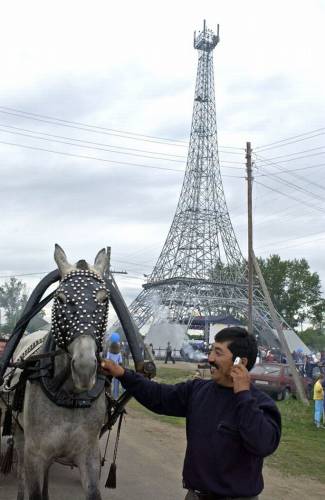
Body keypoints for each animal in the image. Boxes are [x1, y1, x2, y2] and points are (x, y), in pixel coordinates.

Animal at [13, 246, 109, 500]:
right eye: (60, 299)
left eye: (104, 299)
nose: (85, 369)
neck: (69, 395)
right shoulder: (35, 453)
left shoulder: (89, 456)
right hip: (20, 435)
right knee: (20, 471)